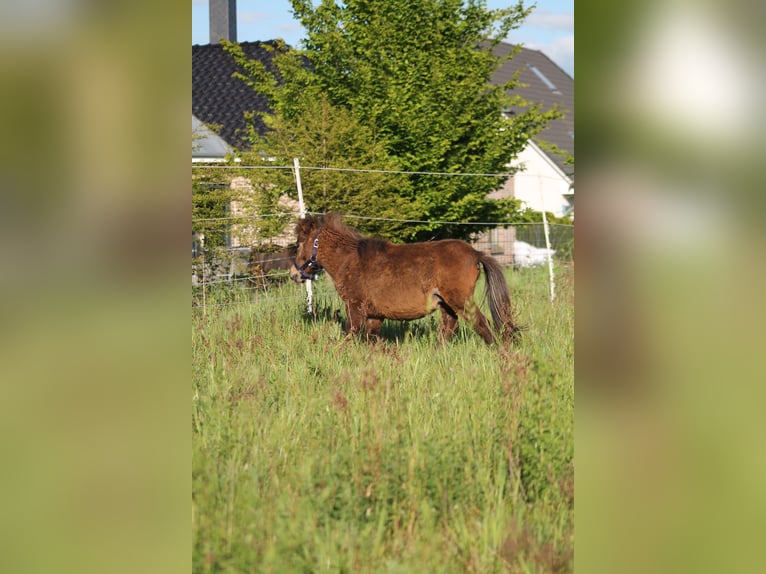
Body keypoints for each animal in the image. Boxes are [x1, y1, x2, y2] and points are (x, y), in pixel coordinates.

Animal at [290, 214, 520, 344]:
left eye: (300, 243)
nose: (294, 274)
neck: (349, 259)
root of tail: (475, 253)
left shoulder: (355, 307)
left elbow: (351, 335)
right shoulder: (375, 315)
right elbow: (372, 340)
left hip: (461, 301)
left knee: (481, 324)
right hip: (447, 305)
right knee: (449, 329)